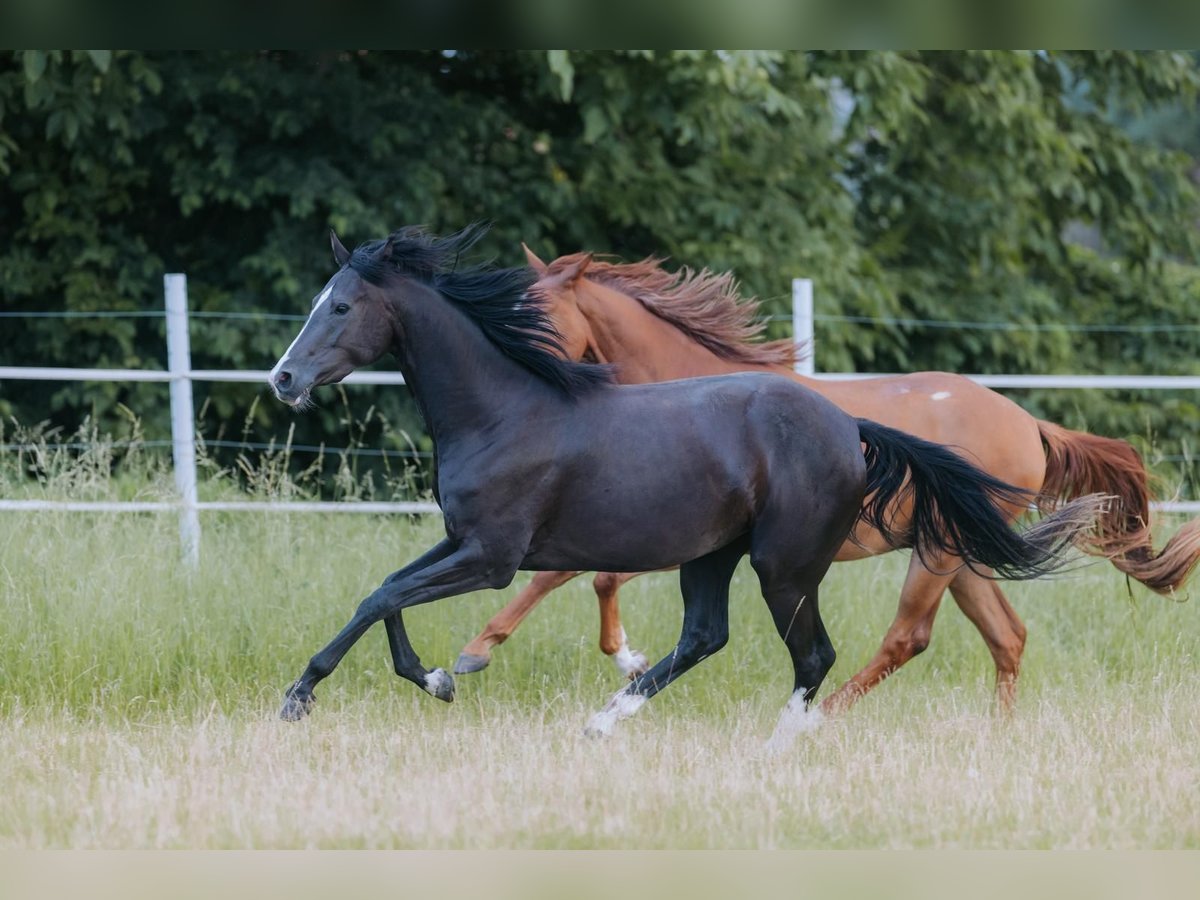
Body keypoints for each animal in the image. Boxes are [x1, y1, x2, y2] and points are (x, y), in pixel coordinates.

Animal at [272, 224, 1104, 734]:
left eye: (340, 306)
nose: (283, 378)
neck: (506, 410)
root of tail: (851, 429)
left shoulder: (495, 557)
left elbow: (389, 596)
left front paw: (306, 695)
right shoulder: (465, 542)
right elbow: (385, 590)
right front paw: (436, 677)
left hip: (804, 563)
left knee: (848, 649)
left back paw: (792, 736)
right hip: (750, 556)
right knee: (715, 636)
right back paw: (607, 720)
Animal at [456, 247, 1200, 710]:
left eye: (540, 315)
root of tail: (1029, 424)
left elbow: (587, 575)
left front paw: (615, 659)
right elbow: (565, 574)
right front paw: (479, 652)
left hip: (939, 553)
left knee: (908, 638)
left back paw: (823, 717)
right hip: (961, 554)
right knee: (1006, 637)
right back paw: (999, 739)